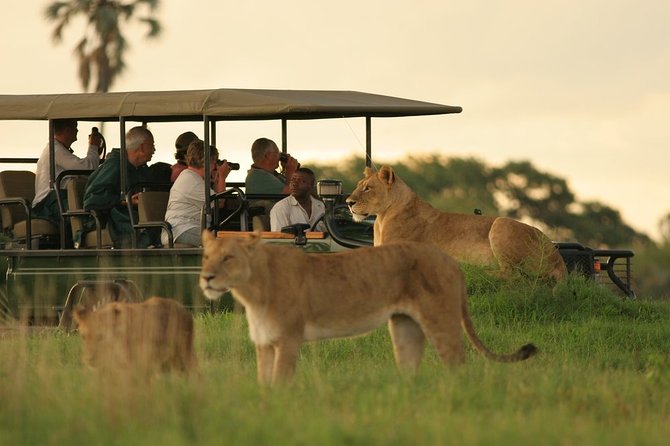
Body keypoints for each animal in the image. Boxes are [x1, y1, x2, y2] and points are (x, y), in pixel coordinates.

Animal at [198, 230, 536, 384]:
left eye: (228, 258)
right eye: (206, 256)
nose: (206, 278)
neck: (251, 290)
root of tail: (452, 261)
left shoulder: (289, 340)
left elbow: (280, 383)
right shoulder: (264, 343)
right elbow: (264, 384)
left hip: (440, 320)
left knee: (457, 362)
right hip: (404, 326)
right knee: (410, 366)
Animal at [350, 166, 568, 280]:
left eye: (368, 188)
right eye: (359, 186)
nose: (349, 202)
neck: (382, 217)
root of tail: (557, 257)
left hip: (501, 224)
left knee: (512, 274)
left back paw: (474, 270)